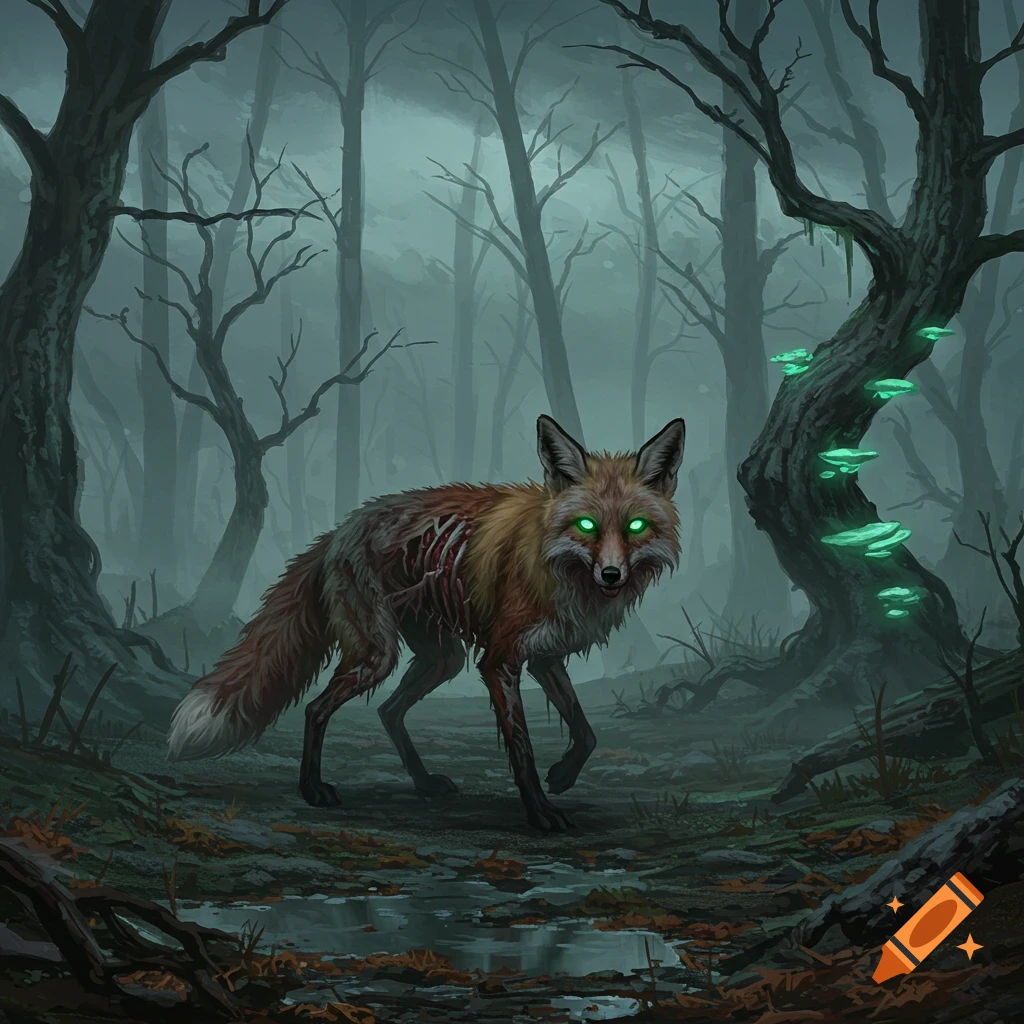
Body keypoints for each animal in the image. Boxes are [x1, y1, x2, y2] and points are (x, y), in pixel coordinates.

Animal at [166, 414, 684, 831]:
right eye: (587, 526)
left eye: (635, 527)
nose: (612, 575)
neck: (556, 564)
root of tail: (340, 528)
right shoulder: (499, 659)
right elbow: (522, 749)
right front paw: (539, 812)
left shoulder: (544, 654)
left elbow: (586, 731)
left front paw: (562, 776)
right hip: (379, 654)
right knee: (316, 708)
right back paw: (313, 790)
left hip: (441, 657)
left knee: (388, 710)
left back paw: (423, 782)